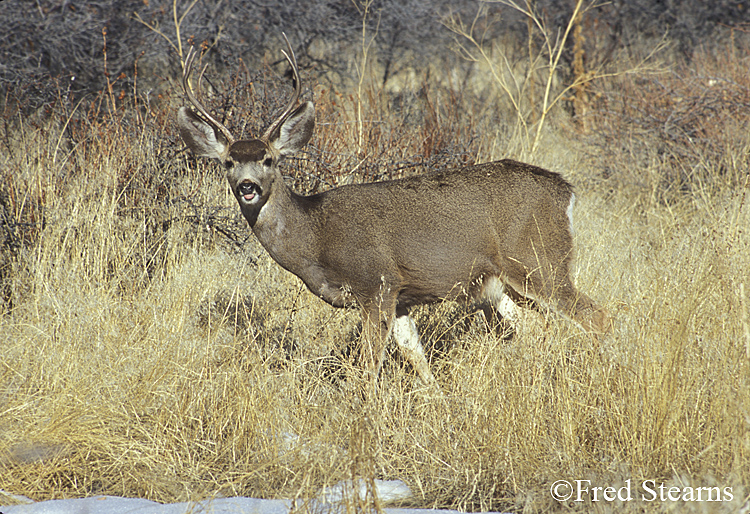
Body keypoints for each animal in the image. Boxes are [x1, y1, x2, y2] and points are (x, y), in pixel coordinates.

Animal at [176, 37, 612, 384]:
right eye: (229, 162)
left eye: (268, 159)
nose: (247, 187)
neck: (316, 235)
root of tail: (566, 192)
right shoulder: (401, 296)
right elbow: (415, 355)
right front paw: (435, 401)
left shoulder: (377, 283)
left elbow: (371, 365)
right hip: (505, 282)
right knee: (538, 328)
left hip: (540, 261)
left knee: (596, 315)